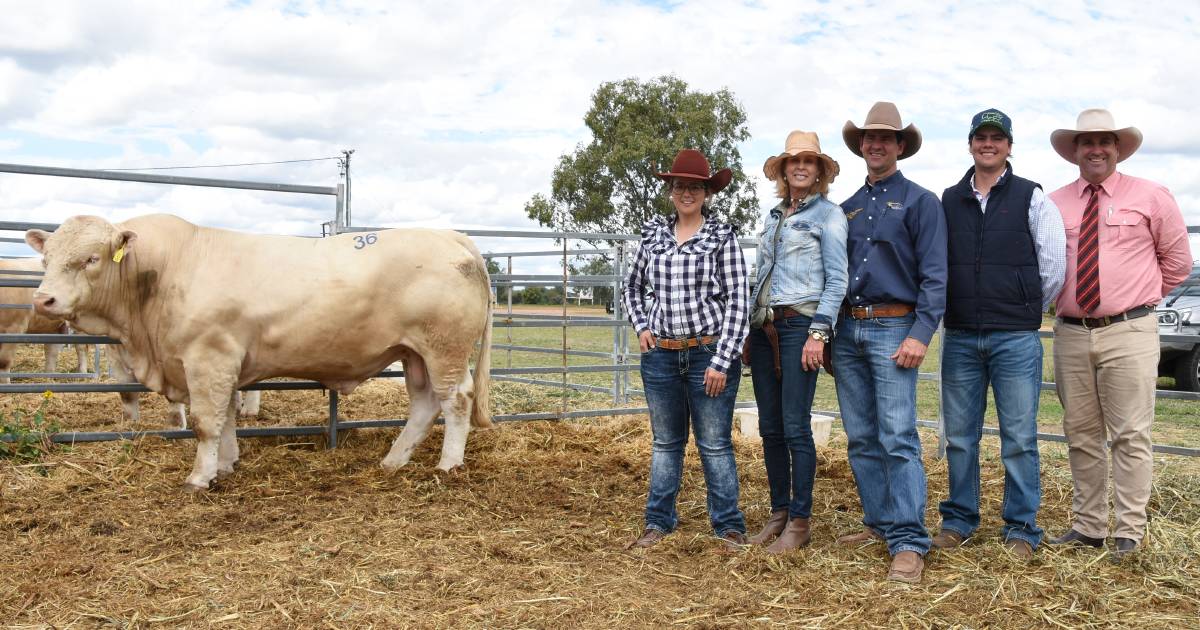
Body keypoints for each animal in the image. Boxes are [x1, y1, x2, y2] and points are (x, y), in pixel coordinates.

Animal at [27, 213, 492, 489]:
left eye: (91, 258)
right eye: (45, 259)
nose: (44, 299)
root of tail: (451, 236)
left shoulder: (207, 358)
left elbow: (206, 424)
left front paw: (199, 477)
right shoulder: (222, 363)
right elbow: (227, 418)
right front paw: (226, 464)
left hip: (445, 348)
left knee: (456, 400)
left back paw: (448, 466)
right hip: (413, 354)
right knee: (424, 404)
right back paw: (393, 461)